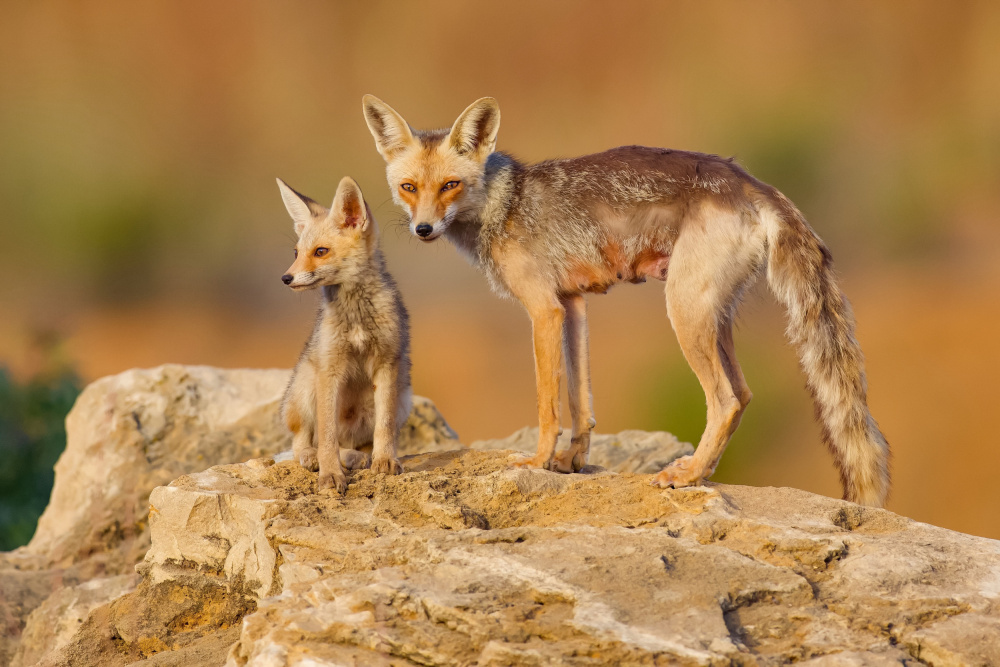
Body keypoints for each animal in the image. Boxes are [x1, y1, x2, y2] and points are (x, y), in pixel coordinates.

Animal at [277, 175, 412, 494]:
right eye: (296, 253)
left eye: (320, 252)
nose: (286, 278)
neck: (357, 317)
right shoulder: (330, 368)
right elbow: (326, 438)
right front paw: (330, 475)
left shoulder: (387, 363)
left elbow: (384, 428)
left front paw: (385, 462)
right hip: (305, 391)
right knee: (303, 443)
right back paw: (311, 458)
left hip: (403, 399)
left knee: (356, 446)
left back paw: (358, 458)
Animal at [361, 94, 891, 507]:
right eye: (409, 188)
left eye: (450, 185)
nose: (423, 229)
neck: (504, 204)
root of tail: (750, 181)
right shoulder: (573, 304)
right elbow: (582, 400)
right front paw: (572, 462)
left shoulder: (544, 310)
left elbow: (548, 404)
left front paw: (537, 461)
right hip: (712, 316)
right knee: (742, 395)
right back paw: (701, 469)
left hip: (683, 311)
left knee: (723, 400)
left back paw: (688, 475)